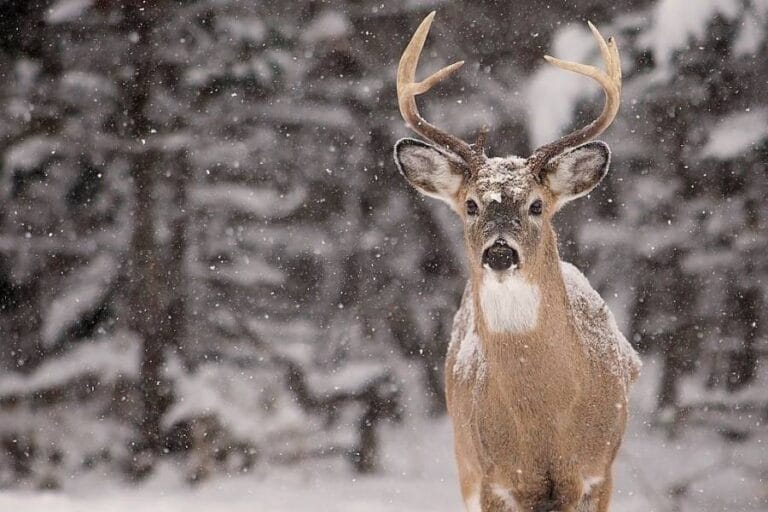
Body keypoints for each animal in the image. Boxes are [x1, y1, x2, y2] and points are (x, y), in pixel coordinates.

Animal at [392, 12, 642, 512]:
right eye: (471, 205)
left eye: (537, 205)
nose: (500, 252)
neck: (545, 426)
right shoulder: (494, 480)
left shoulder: (597, 475)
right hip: (463, 461)